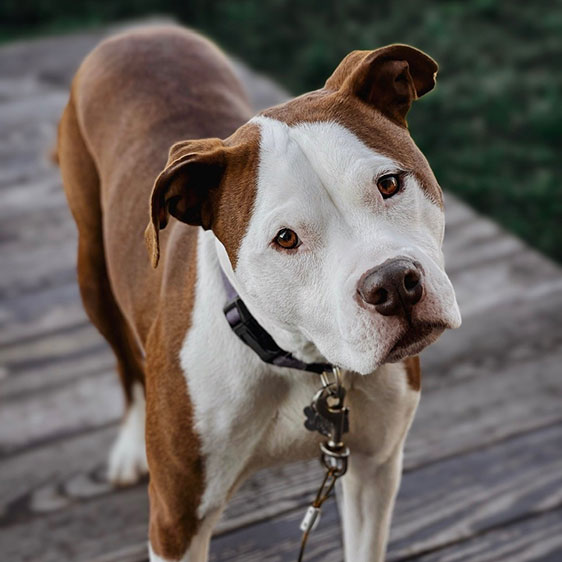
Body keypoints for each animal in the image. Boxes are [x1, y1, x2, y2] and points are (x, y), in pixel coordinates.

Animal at [57, 25, 460, 560]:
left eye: (390, 183)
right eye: (286, 238)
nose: (394, 284)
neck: (302, 358)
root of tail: (138, 30)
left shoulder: (374, 470)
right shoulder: (176, 522)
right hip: (93, 272)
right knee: (124, 358)